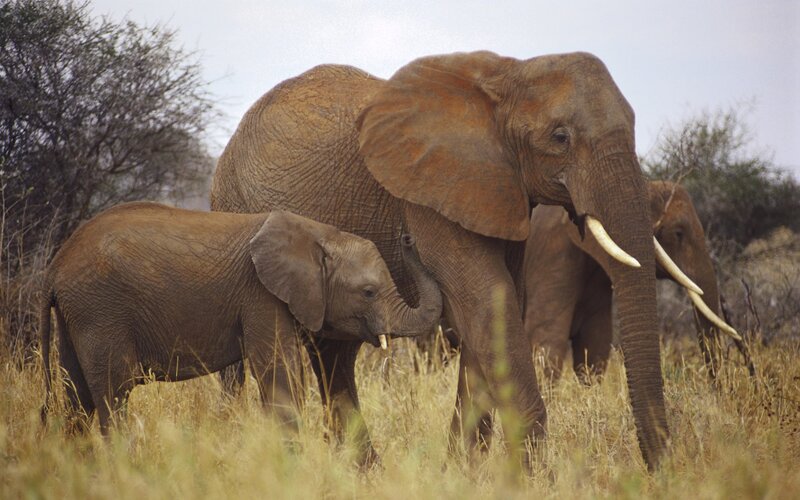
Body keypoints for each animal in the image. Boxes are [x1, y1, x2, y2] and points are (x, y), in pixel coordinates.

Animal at [39, 201, 442, 435]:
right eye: (369, 292)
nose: (407, 237)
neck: (318, 234)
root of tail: (54, 269)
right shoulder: (261, 295)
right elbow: (279, 374)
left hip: (81, 315)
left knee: (77, 396)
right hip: (101, 310)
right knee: (113, 393)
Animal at [210, 51, 670, 470]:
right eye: (560, 137)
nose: (659, 470)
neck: (508, 74)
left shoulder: (500, 193)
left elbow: (494, 310)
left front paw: (463, 473)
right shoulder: (428, 198)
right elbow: (488, 301)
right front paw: (533, 479)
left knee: (334, 357)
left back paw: (366, 472)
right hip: (233, 213)